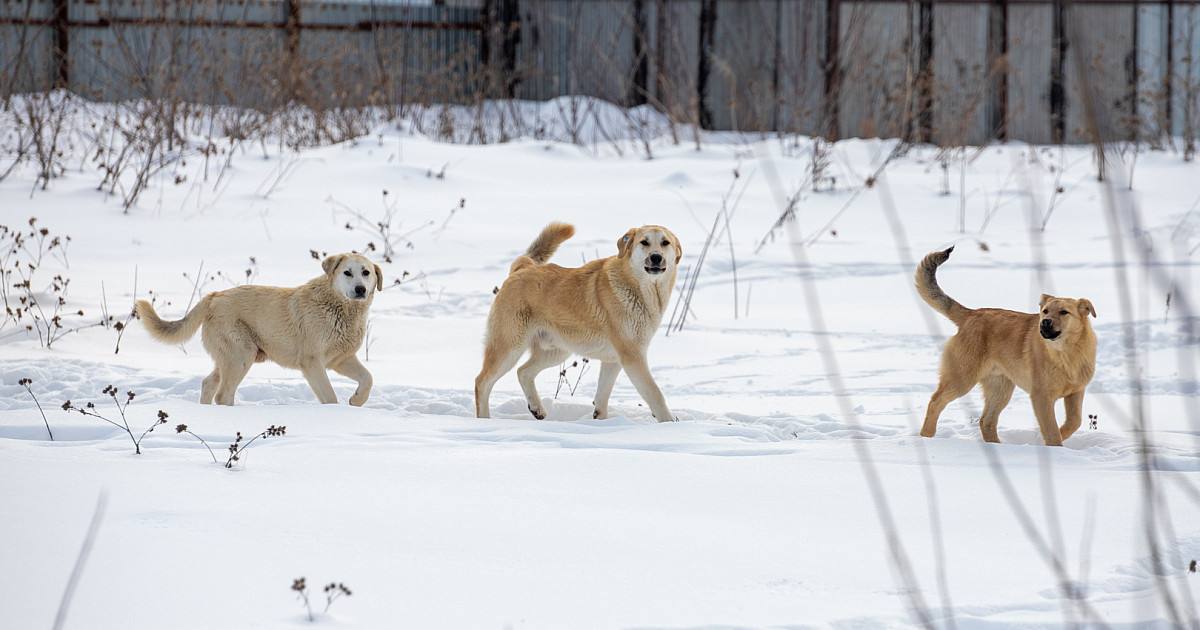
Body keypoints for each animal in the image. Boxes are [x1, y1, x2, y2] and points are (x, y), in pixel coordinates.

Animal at [136, 253, 381, 405]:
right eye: (347, 272)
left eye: (366, 273)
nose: (360, 289)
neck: (341, 309)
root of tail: (214, 296)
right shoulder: (312, 362)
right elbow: (329, 396)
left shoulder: (341, 359)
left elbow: (368, 378)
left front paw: (356, 400)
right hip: (241, 355)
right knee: (223, 394)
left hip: (234, 358)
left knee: (208, 384)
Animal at [477, 222, 686, 422]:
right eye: (644, 242)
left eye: (665, 243)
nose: (656, 257)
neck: (638, 288)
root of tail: (523, 266)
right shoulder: (633, 357)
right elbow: (655, 394)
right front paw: (669, 424)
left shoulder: (613, 360)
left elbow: (602, 397)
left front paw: (601, 421)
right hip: (509, 348)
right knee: (482, 382)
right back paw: (484, 420)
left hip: (556, 351)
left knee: (523, 372)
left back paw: (537, 409)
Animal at [916, 247, 1099, 446]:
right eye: (1045, 311)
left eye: (1064, 312)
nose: (1044, 322)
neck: (1065, 353)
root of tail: (971, 314)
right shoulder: (1041, 396)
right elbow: (1051, 431)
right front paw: (1054, 446)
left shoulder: (1076, 392)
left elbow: (1074, 421)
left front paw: (1055, 439)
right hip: (962, 378)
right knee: (935, 402)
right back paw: (927, 437)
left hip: (1000, 388)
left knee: (986, 421)